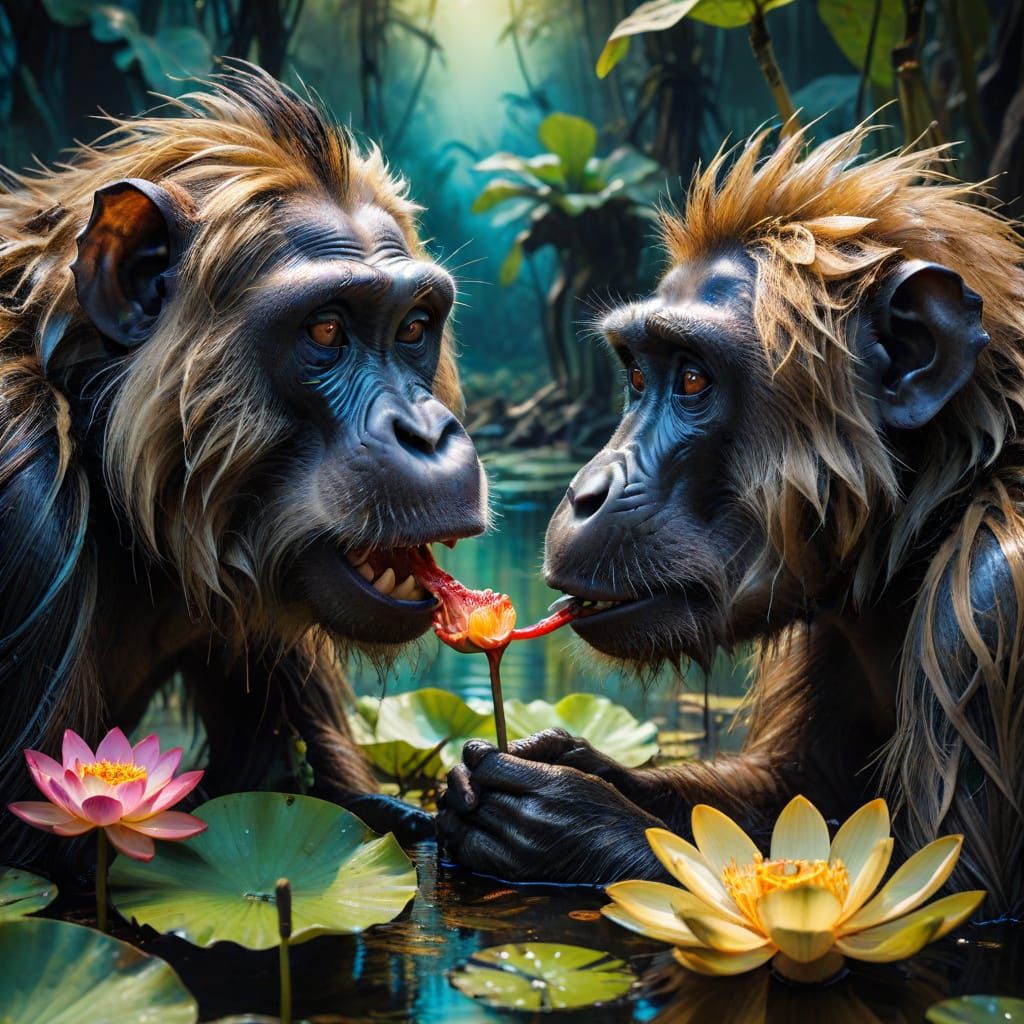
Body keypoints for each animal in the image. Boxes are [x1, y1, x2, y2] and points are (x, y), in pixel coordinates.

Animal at [439, 122, 1024, 916]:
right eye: (637, 375)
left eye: (692, 378)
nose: (585, 489)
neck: (926, 515)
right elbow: (797, 792)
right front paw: (571, 762)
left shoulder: (995, 600)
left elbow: (944, 889)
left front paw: (565, 815)